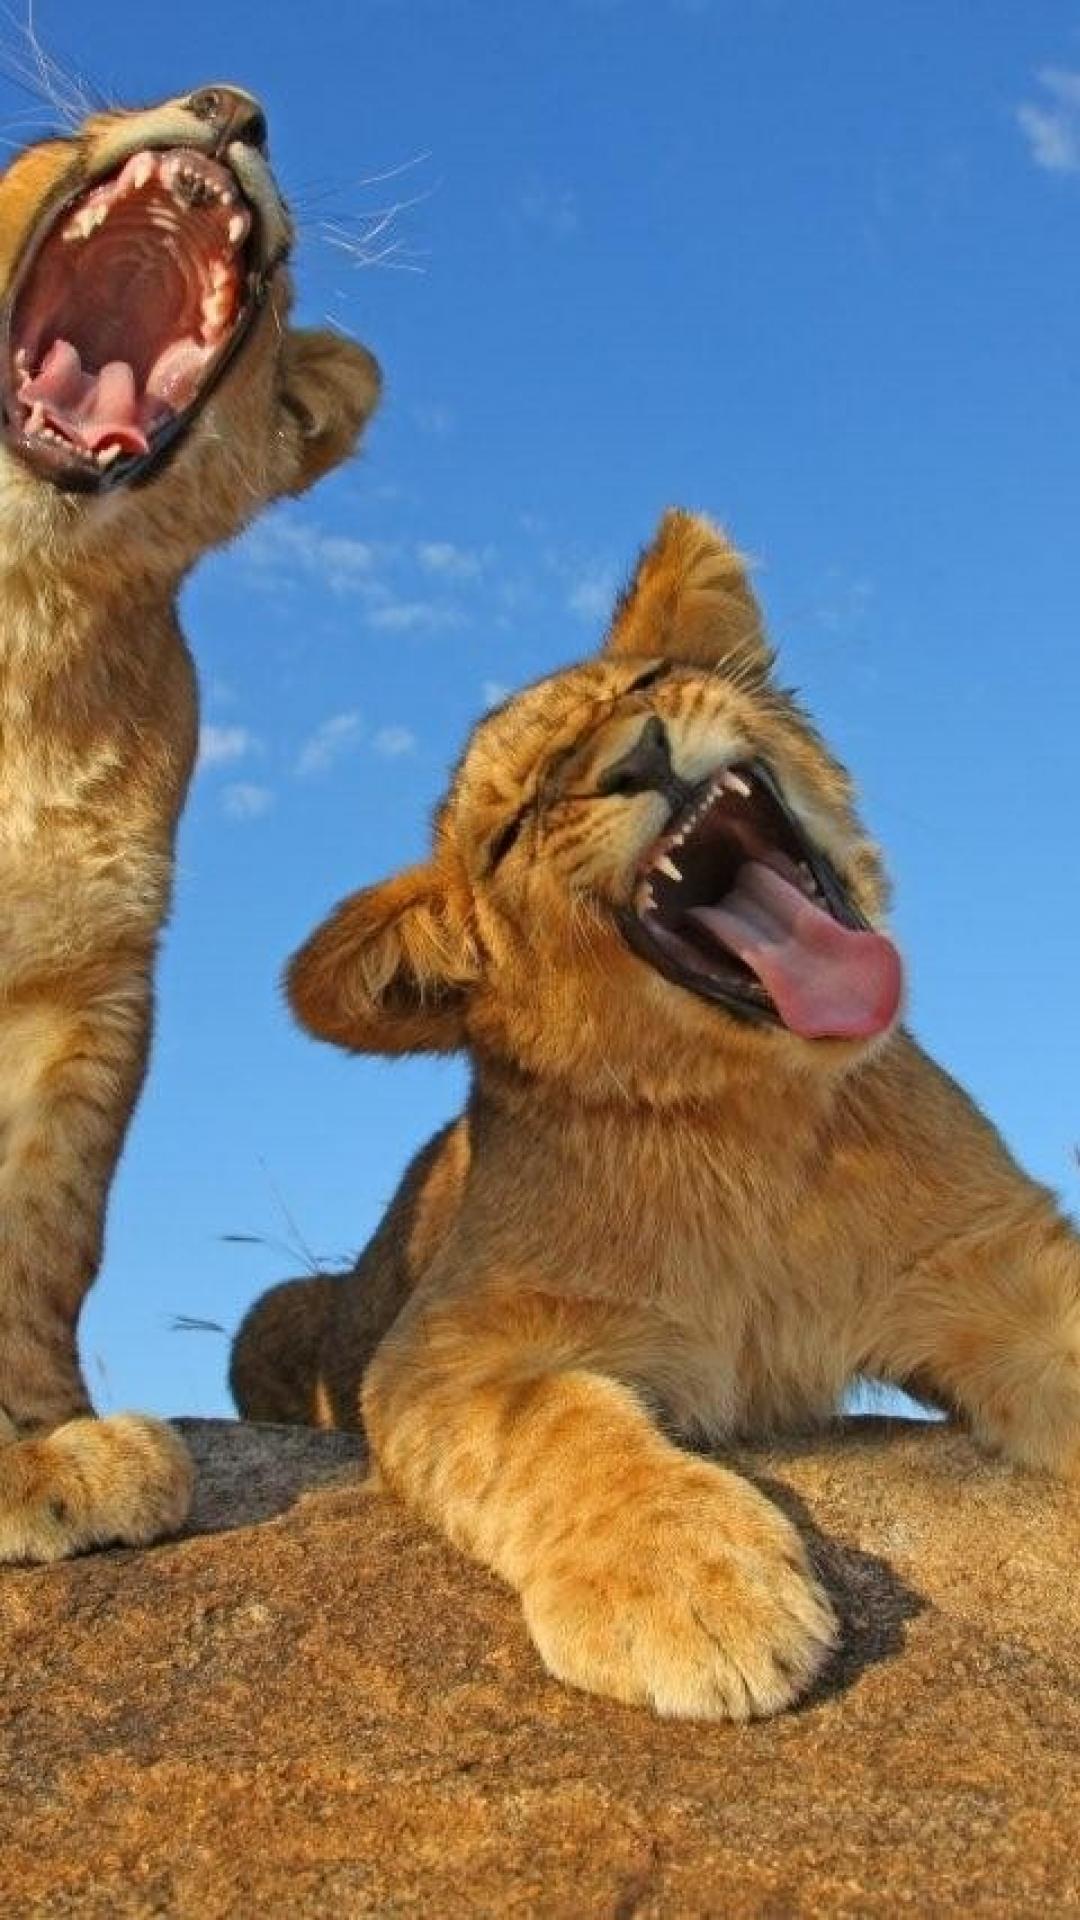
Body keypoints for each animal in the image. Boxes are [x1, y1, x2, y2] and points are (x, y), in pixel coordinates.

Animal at [233, 510, 1080, 1720]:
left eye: (643, 683)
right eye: (517, 823)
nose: (638, 756)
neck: (752, 1113)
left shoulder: (997, 1265)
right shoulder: (442, 1349)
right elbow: (554, 1427)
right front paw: (690, 1594)